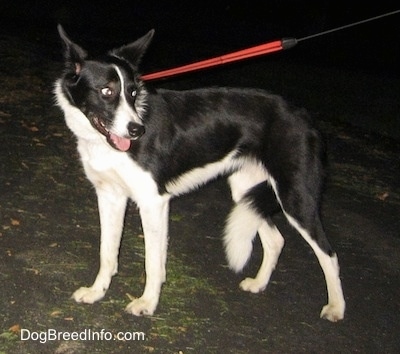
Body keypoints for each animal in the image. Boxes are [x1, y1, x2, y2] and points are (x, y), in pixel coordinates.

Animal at [54, 24, 346, 320]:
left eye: (133, 93)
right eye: (106, 91)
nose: (137, 130)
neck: (104, 143)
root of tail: (305, 116)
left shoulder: (154, 202)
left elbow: (153, 262)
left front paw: (147, 303)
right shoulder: (110, 196)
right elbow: (108, 252)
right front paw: (97, 292)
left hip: (294, 196)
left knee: (329, 254)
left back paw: (336, 307)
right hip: (246, 190)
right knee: (276, 240)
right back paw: (259, 284)